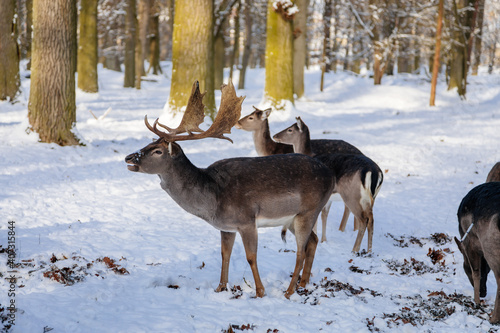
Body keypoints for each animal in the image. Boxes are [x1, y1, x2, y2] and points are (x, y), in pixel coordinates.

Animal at [126, 81, 336, 298]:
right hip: (293, 218)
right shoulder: (226, 227)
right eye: (149, 143)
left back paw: (288, 291)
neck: (213, 200)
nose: (129, 158)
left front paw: (260, 292)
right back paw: (303, 284)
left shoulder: (246, 220)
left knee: (300, 250)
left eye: (158, 151)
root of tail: (330, 174)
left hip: (309, 210)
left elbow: (251, 256)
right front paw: (220, 288)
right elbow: (224, 254)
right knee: (313, 241)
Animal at [274, 116, 382, 252]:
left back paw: (354, 250)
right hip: (370, 198)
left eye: (290, 129)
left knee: (363, 219)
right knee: (371, 219)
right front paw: (323, 240)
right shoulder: (328, 198)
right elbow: (324, 215)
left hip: (352, 196)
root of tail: (374, 172)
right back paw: (369, 251)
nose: (274, 136)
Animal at [456, 180, 500, 322]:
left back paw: (493, 318)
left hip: (490, 247)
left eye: (465, 268)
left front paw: (476, 302)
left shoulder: (470, 241)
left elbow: (476, 271)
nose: (483, 292)